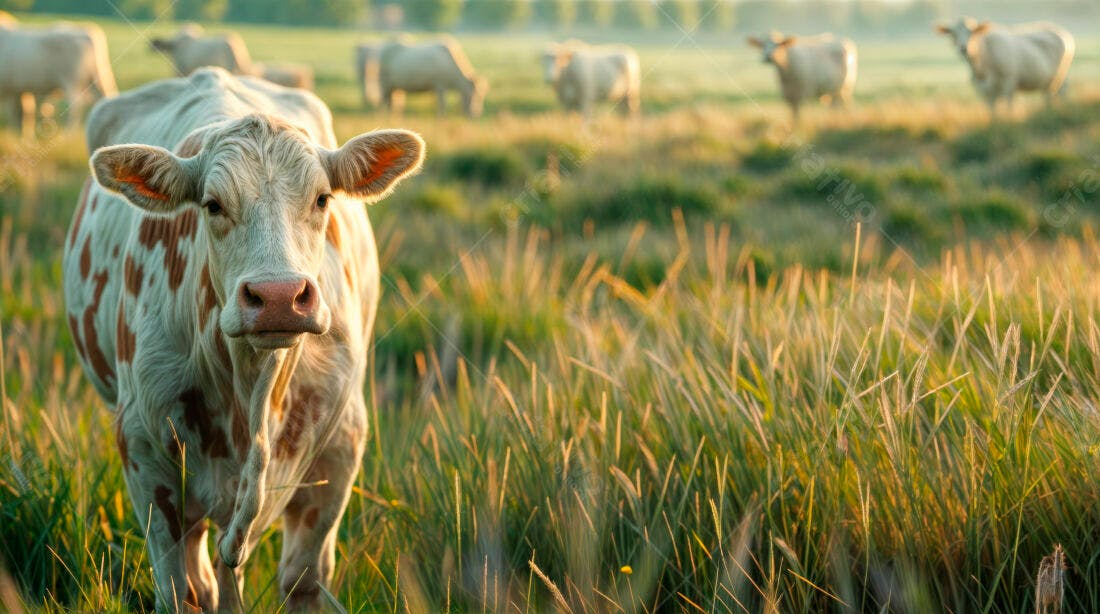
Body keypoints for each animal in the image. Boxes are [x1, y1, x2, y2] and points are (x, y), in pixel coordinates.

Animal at [64, 67, 424, 612]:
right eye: (212, 205)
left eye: (322, 199)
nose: (278, 296)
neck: (253, 389)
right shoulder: (147, 458)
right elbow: (182, 590)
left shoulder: (340, 451)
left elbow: (302, 579)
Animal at [935, 18, 1074, 118]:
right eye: (953, 34)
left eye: (972, 33)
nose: (963, 48)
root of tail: (1063, 33)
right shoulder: (983, 89)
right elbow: (992, 111)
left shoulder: (1009, 80)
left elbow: (1009, 105)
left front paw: (1009, 122)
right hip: (1049, 79)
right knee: (1049, 94)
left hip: (1059, 74)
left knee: (1060, 91)